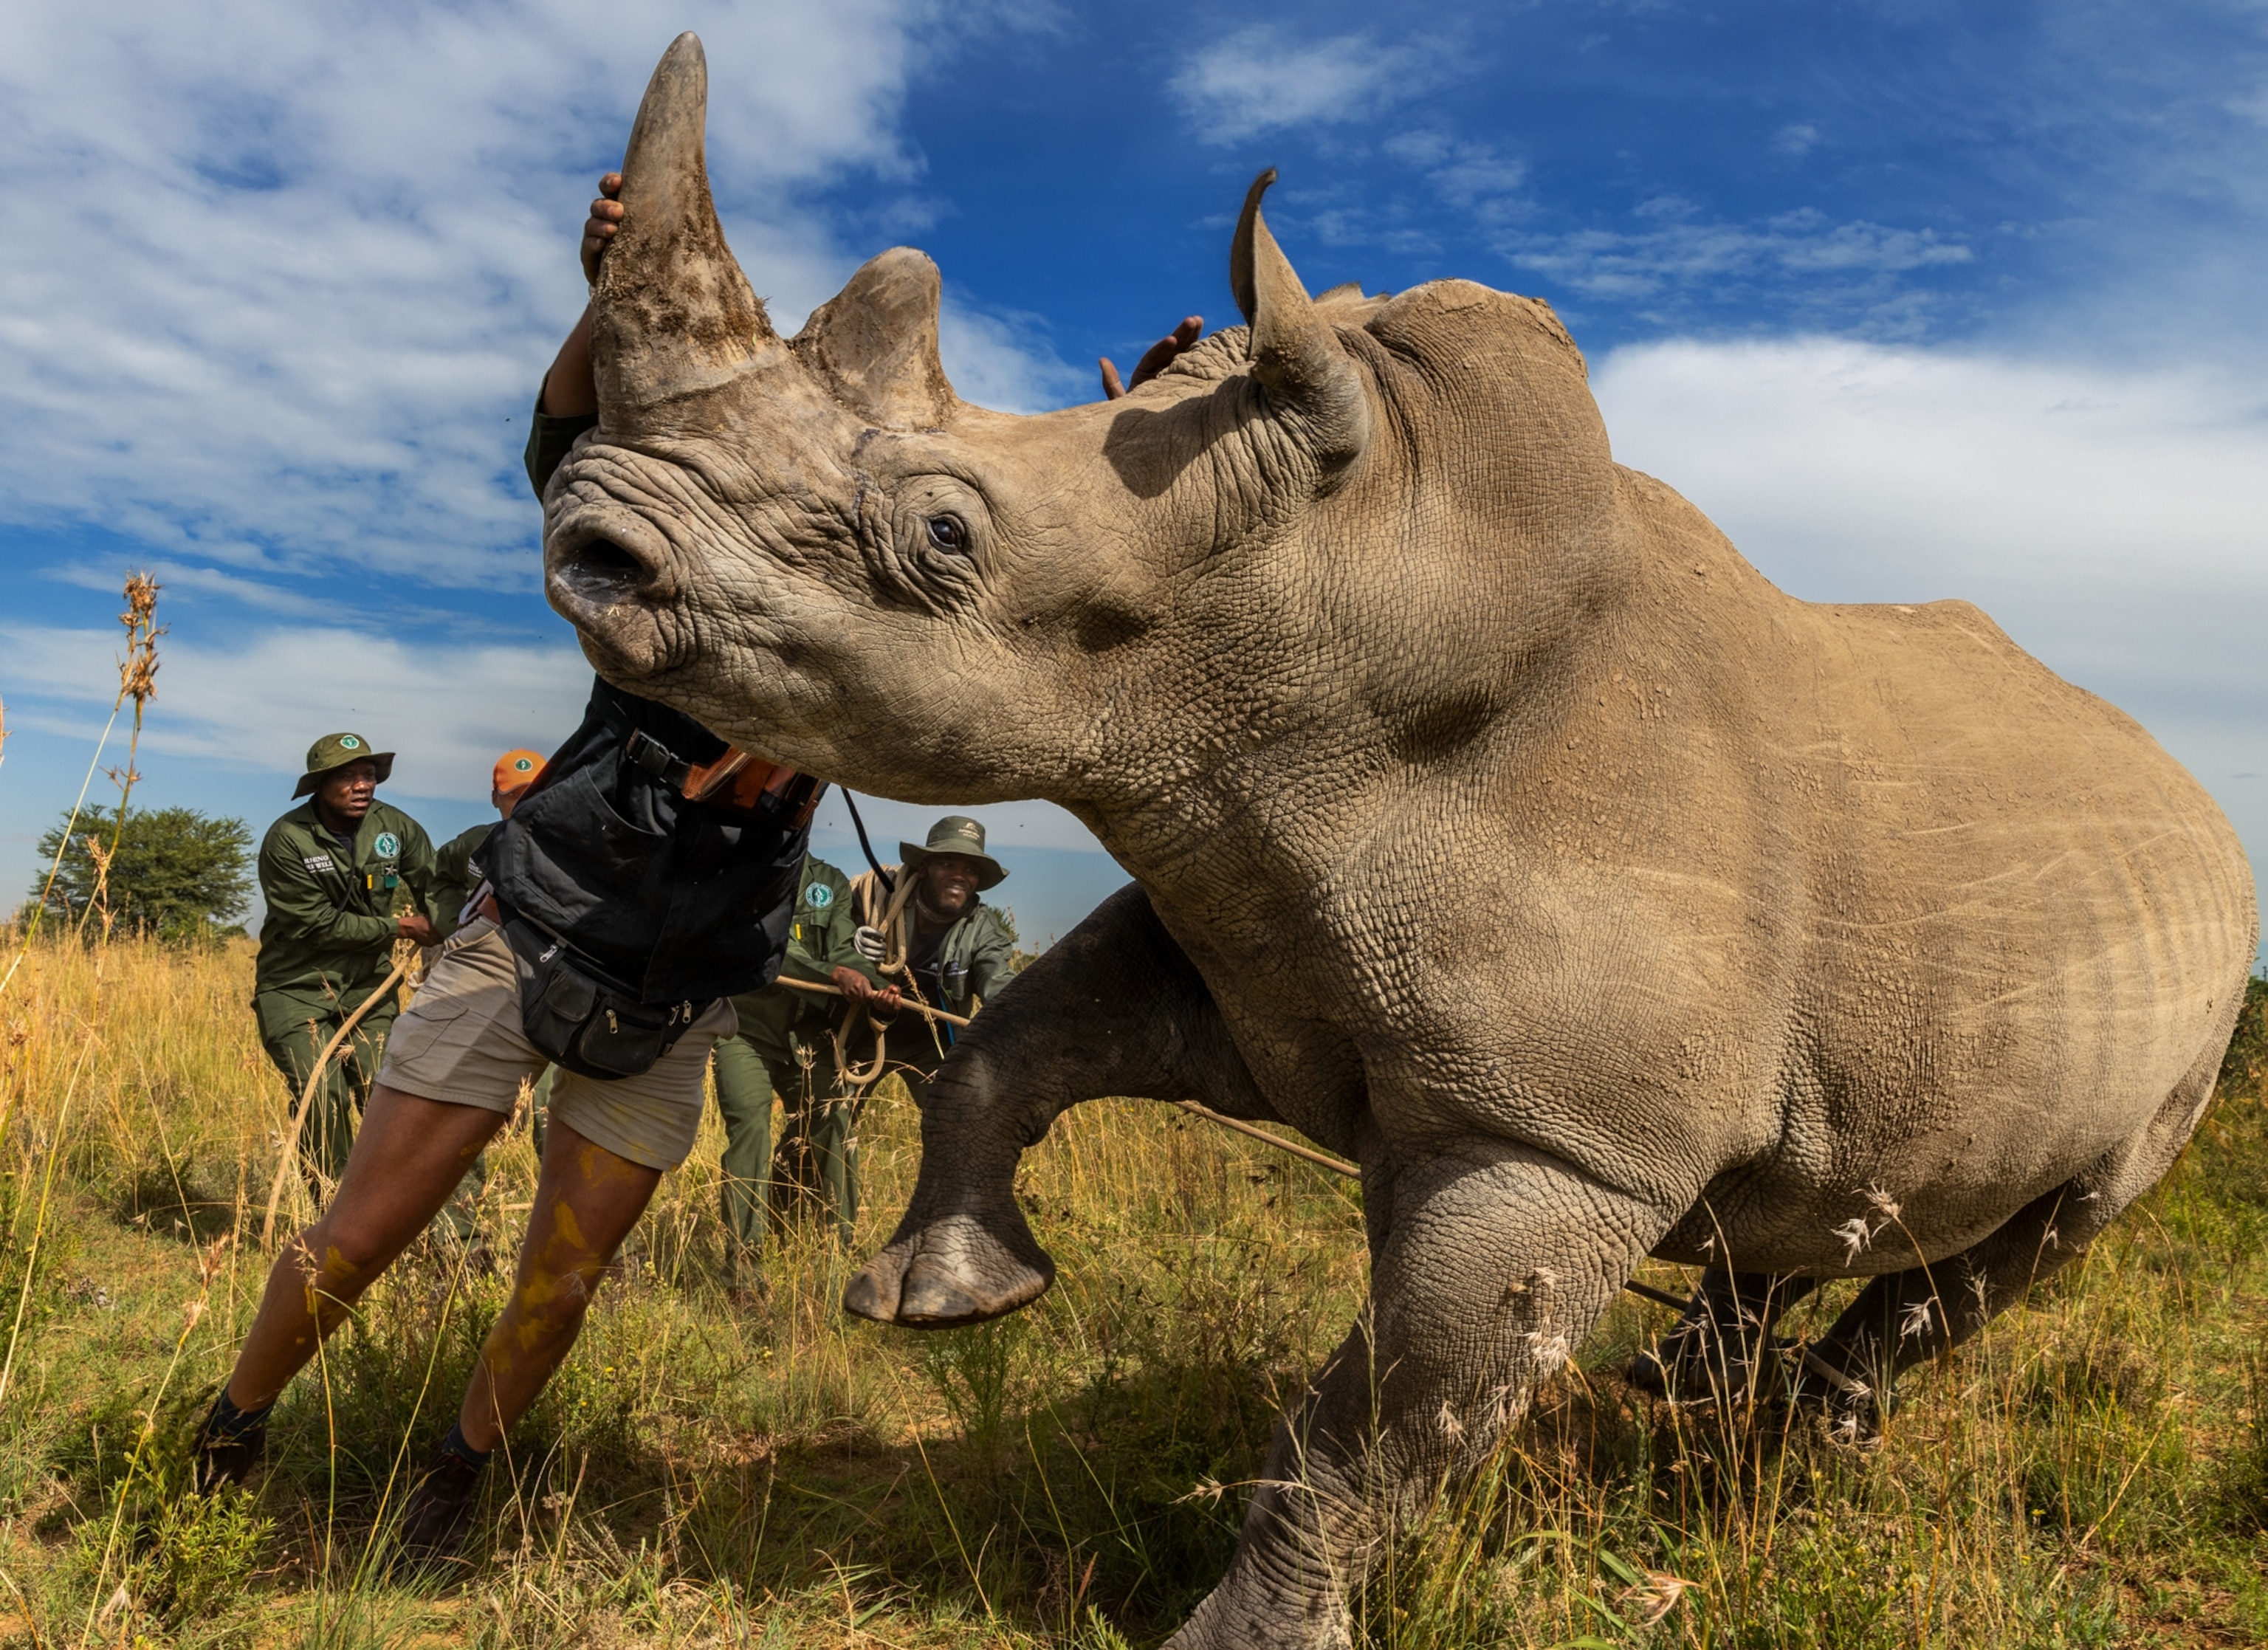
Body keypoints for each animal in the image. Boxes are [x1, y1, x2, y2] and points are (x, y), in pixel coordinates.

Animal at [542, 36, 2258, 1648]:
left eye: (944, 537)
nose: (591, 539)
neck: (1352, 573)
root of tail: (2189, 795)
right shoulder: (1235, 896)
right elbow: (1018, 1038)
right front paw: (947, 1302)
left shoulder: (1556, 1135)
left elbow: (1381, 1422)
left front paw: (1238, 1635)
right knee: (1803, 1186)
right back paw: (1705, 1411)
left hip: (2196, 1009)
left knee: (2045, 1232)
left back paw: (1806, 1452)